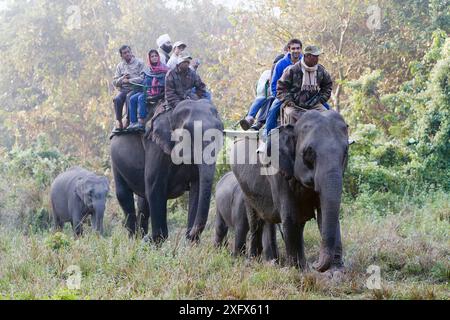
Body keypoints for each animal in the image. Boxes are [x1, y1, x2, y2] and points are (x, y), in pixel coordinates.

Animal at [230, 110, 350, 272]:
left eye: (345, 152)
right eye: (309, 153)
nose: (315, 264)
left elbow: (323, 214)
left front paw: (336, 272)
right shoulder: (277, 172)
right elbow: (290, 216)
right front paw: (296, 271)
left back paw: (273, 261)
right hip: (245, 187)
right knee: (255, 222)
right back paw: (254, 261)